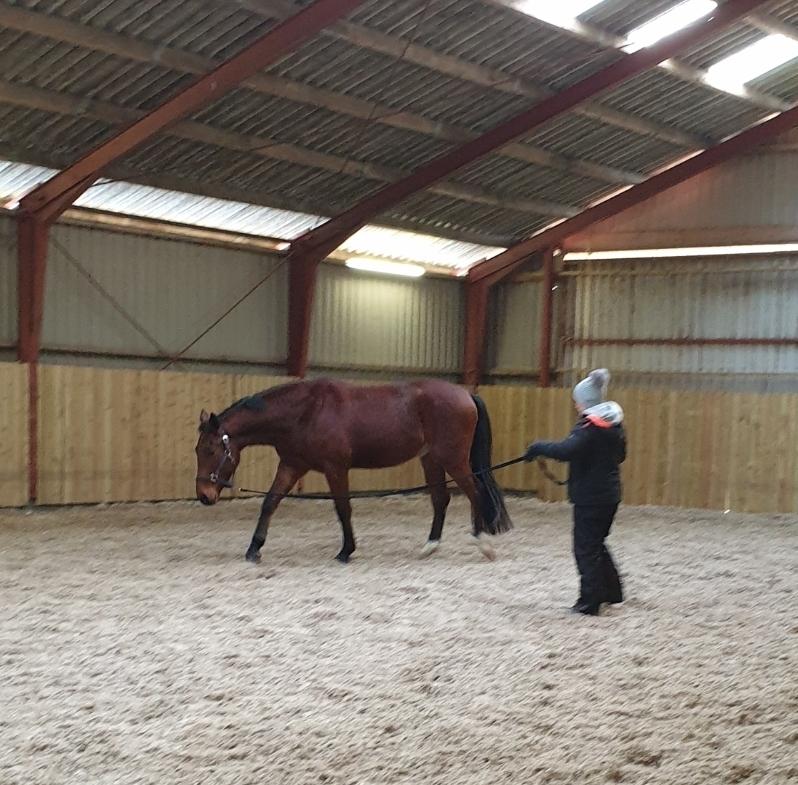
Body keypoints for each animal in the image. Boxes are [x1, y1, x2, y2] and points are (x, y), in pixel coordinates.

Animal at [197, 376, 516, 564]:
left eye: (211, 450)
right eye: (197, 450)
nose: (204, 495)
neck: (307, 411)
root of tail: (466, 394)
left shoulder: (335, 468)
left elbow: (343, 509)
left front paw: (346, 550)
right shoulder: (292, 465)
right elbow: (270, 503)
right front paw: (254, 549)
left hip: (453, 459)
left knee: (475, 492)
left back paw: (484, 544)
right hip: (431, 460)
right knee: (441, 500)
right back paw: (430, 547)